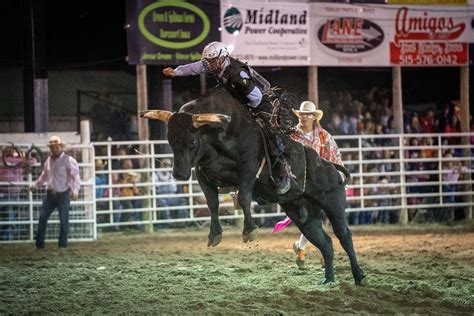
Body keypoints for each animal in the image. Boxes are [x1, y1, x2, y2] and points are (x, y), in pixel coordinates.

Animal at [141, 87, 366, 286]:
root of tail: (331, 167)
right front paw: (215, 235)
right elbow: (212, 203)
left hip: (333, 202)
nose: (179, 174)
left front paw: (249, 230)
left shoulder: (249, 165)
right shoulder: (202, 173)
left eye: (192, 142)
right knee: (325, 243)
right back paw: (328, 279)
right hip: (305, 217)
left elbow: (244, 196)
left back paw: (358, 276)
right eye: (170, 141)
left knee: (344, 236)